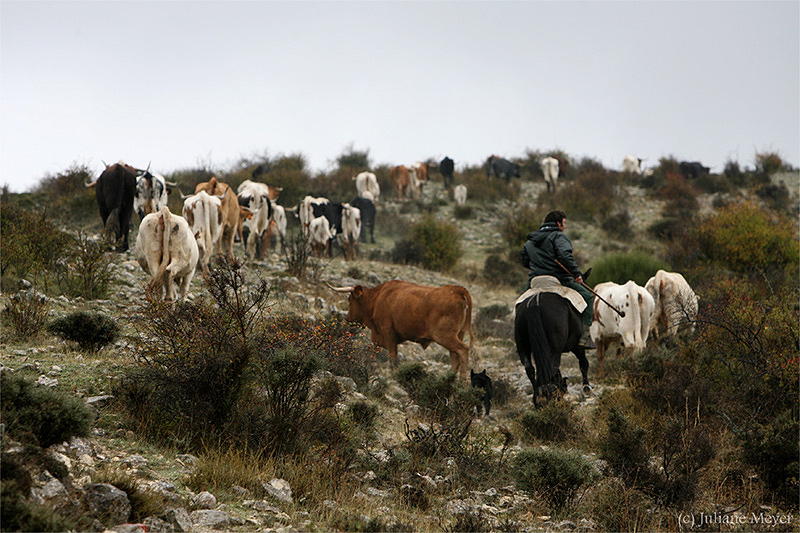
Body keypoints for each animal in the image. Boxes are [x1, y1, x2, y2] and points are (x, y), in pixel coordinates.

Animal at [326, 278, 472, 378]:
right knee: (454, 356)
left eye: (350, 300)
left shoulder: (388, 333)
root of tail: (458, 290)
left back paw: (462, 381)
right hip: (458, 334)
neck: (377, 298)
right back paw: (450, 379)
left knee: (463, 350)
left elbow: (393, 359)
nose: (347, 319)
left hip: (444, 336)